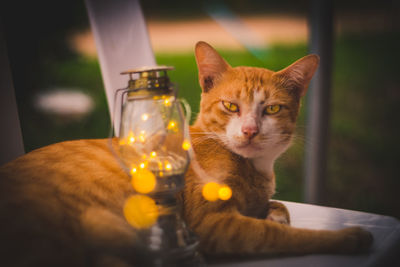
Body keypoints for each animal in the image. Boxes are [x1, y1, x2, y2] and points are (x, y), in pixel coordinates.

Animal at [0, 40, 372, 266]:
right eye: (231, 106)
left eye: (272, 109)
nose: (250, 131)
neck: (255, 168)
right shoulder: (214, 225)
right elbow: (283, 235)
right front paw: (349, 238)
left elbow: (279, 209)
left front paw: (272, 211)